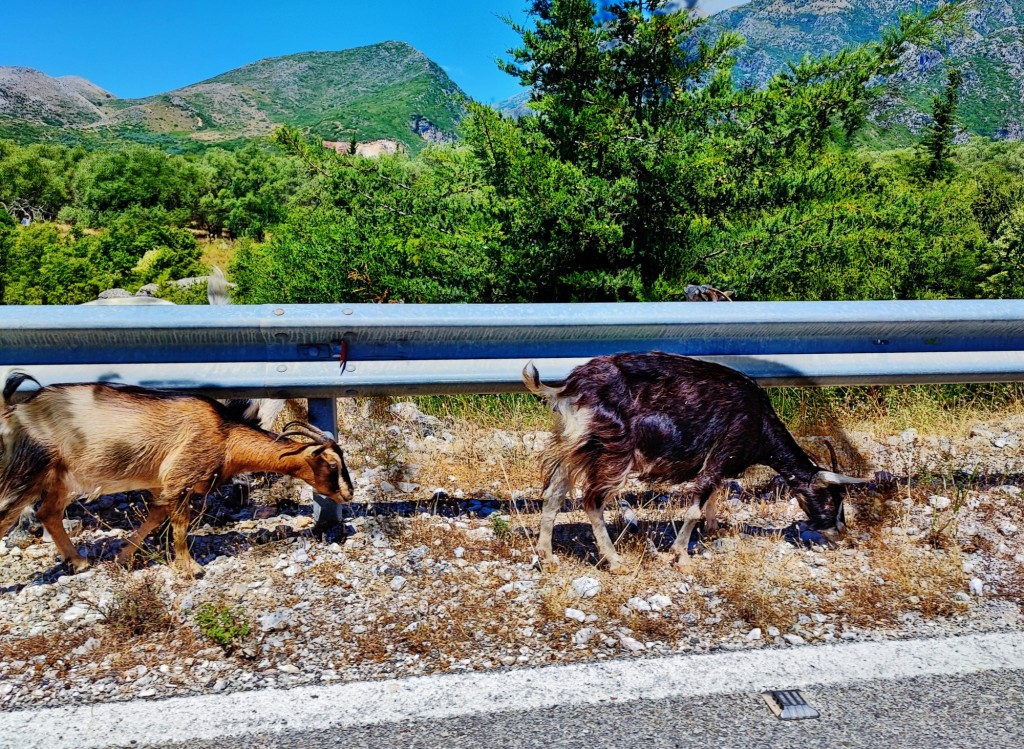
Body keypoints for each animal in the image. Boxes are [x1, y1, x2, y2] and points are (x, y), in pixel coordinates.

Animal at [520, 352, 864, 573]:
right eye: (831, 500)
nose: (842, 534)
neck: (759, 424)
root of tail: (570, 387)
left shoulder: (719, 462)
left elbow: (714, 494)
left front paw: (712, 529)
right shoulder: (723, 451)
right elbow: (698, 501)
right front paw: (681, 557)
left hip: (577, 444)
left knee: (554, 492)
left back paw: (547, 555)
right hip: (614, 450)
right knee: (592, 500)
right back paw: (615, 562)